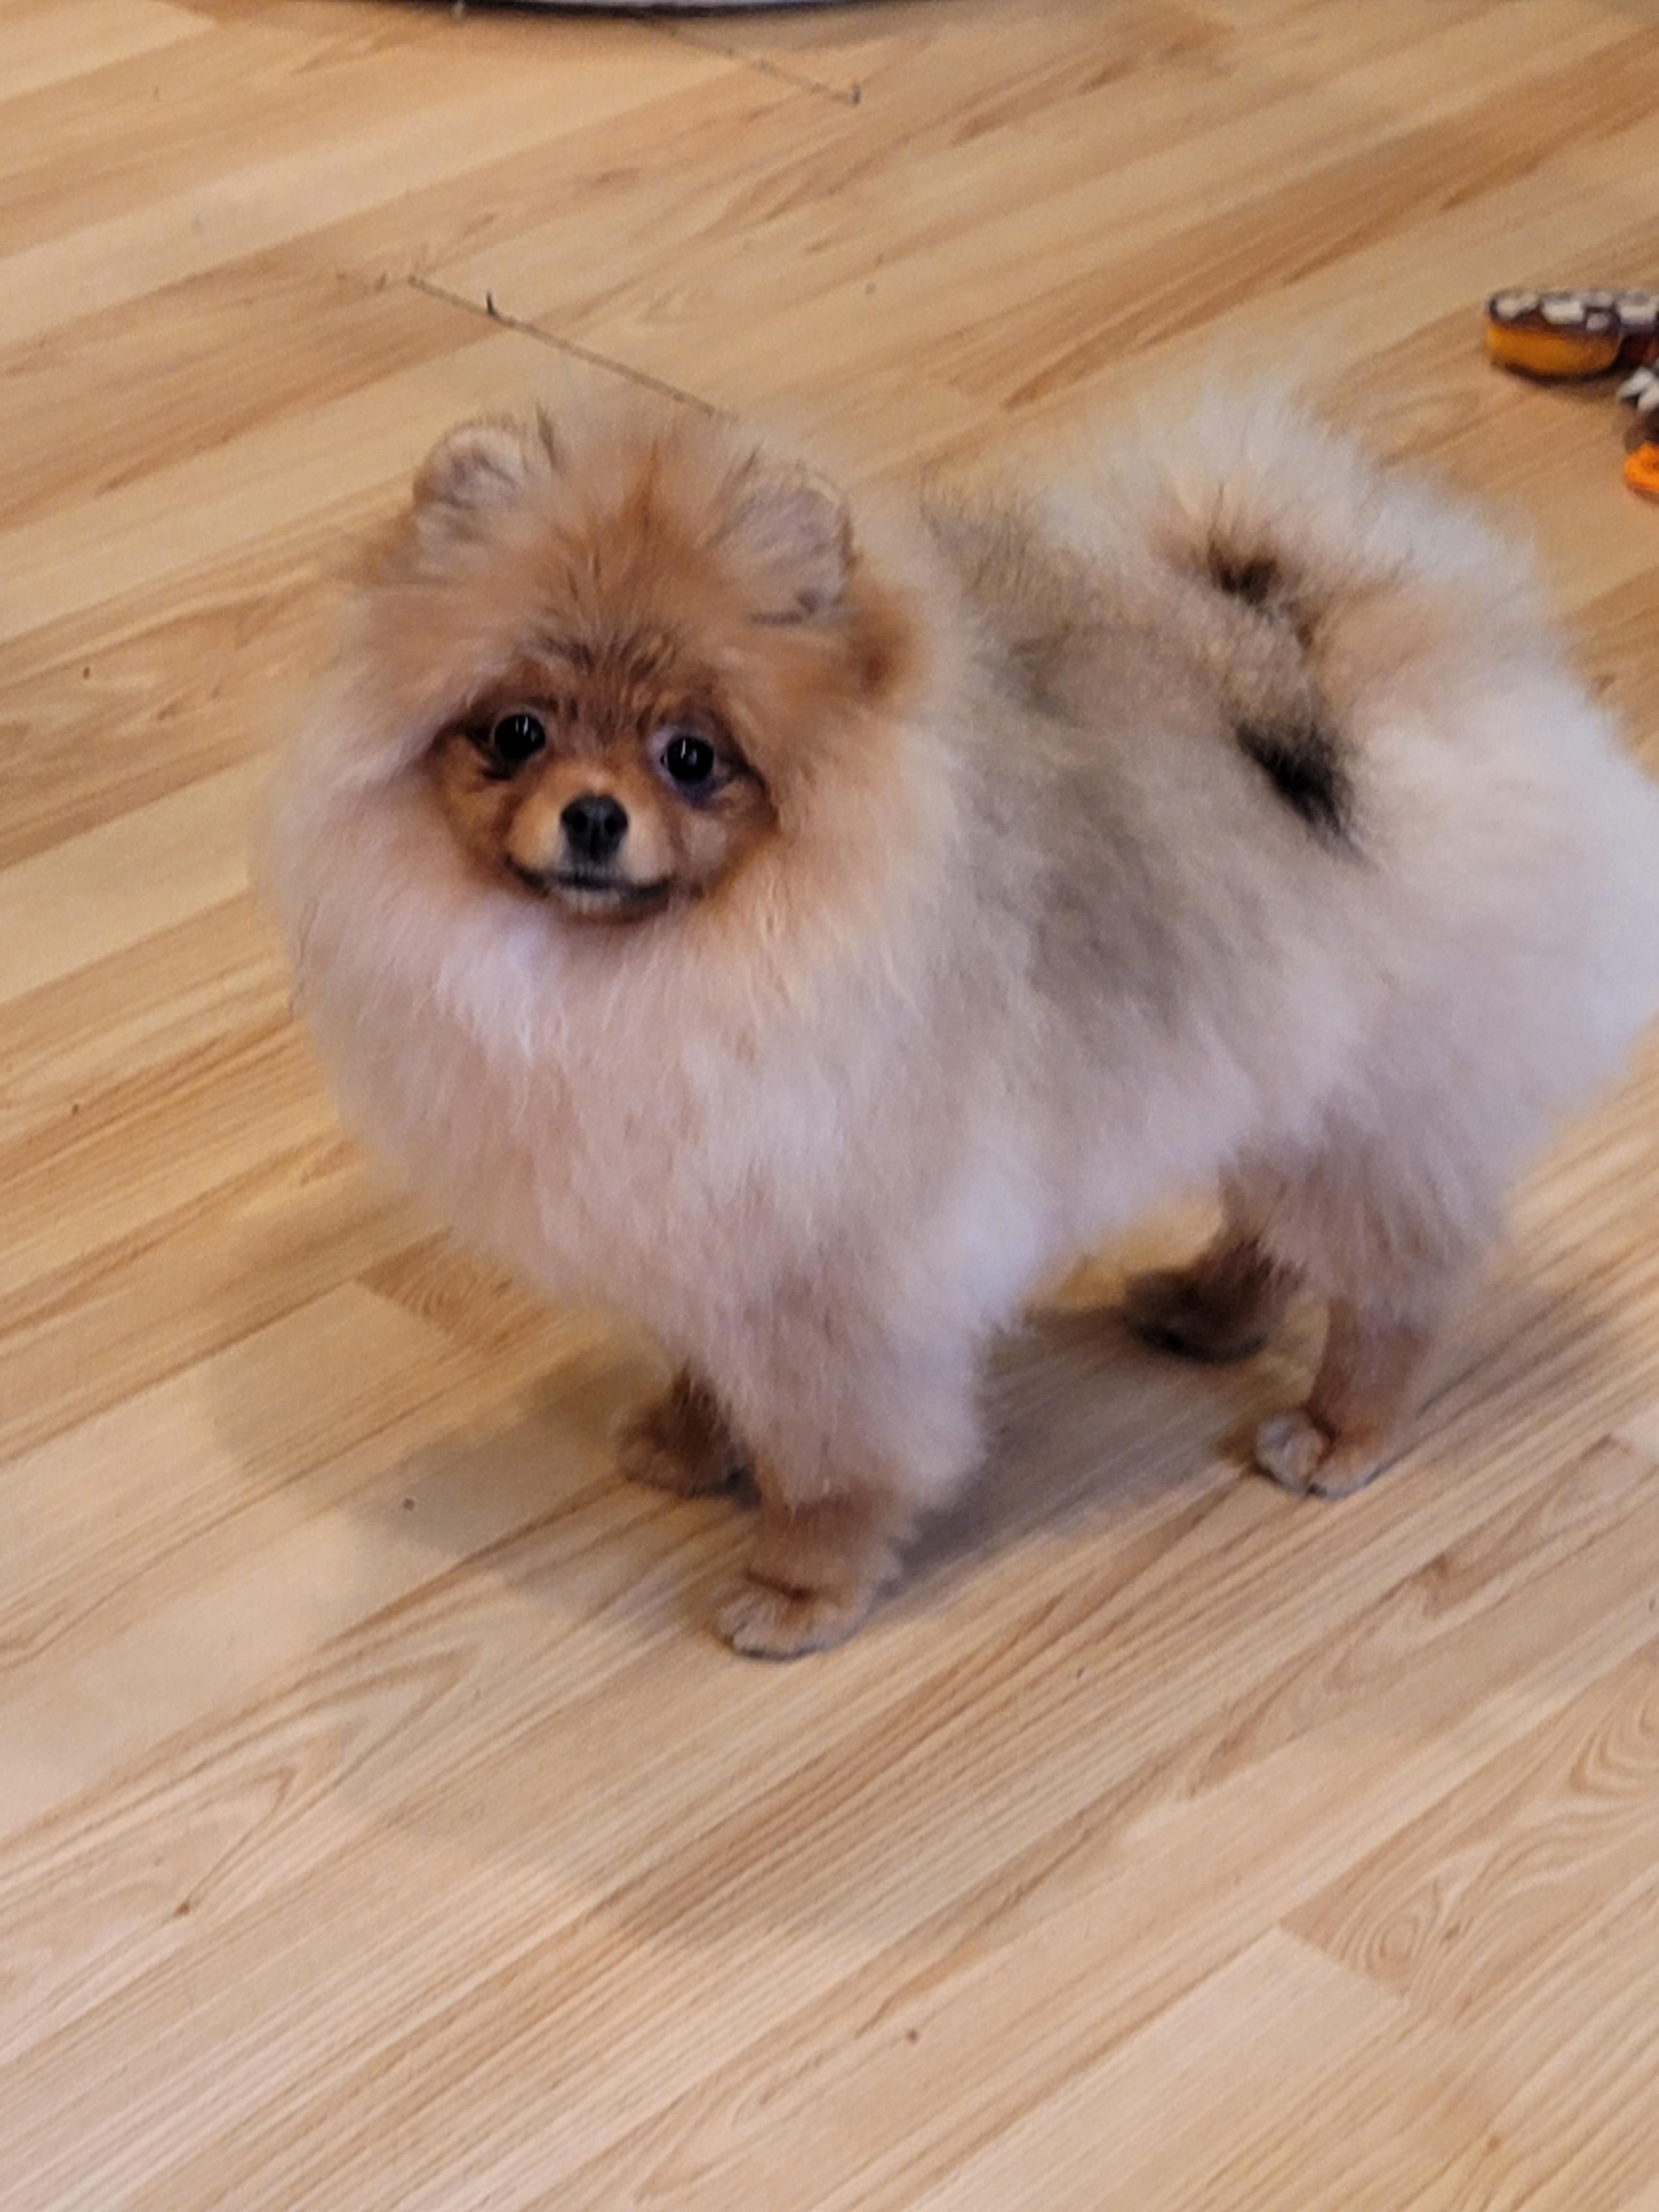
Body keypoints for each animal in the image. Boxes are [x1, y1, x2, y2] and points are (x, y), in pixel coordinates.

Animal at [264, 391, 1659, 1656]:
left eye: (691, 756)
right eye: (516, 732)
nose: (594, 815)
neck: (663, 963)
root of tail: (1357, 654)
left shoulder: (842, 1271)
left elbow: (832, 1453)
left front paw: (800, 1585)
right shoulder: (719, 1217)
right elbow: (716, 1364)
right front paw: (687, 1437)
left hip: (1387, 1102)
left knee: (1393, 1285)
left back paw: (1338, 1428)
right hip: (1291, 1075)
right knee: (1276, 1226)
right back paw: (1206, 1310)